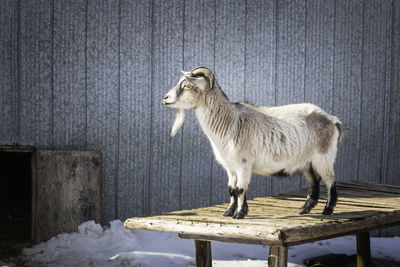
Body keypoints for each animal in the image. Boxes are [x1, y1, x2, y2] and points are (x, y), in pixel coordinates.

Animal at [161, 67, 342, 220]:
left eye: (186, 85)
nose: (165, 98)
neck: (231, 122)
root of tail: (332, 120)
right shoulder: (230, 167)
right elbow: (231, 189)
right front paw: (228, 212)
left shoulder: (243, 164)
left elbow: (240, 189)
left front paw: (239, 214)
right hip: (307, 163)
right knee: (314, 182)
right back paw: (304, 209)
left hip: (324, 157)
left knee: (330, 180)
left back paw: (327, 209)